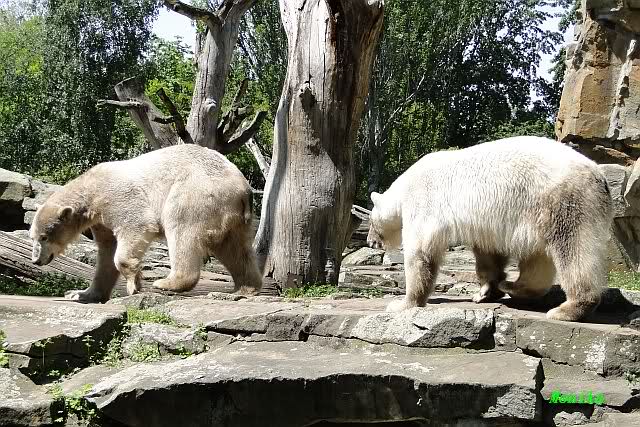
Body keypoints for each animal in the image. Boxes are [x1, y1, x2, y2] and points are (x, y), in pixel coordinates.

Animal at [29, 144, 263, 303]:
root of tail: (243, 187)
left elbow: (134, 228)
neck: (91, 190)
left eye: (44, 237)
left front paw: (134, 285)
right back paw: (244, 289)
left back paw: (167, 283)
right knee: (234, 248)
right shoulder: (102, 220)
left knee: (181, 228)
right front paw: (80, 293)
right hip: (231, 213)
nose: (36, 261)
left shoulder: (117, 198)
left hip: (197, 193)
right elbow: (106, 252)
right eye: (33, 237)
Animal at [367, 136, 613, 322]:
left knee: (572, 249)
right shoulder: (486, 223)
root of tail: (600, 176)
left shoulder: (424, 201)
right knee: (538, 258)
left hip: (564, 201)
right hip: (536, 213)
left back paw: (567, 309)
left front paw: (402, 304)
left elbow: (420, 251)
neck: (404, 186)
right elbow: (488, 253)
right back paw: (513, 286)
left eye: (370, 221)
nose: (370, 241)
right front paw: (486, 292)